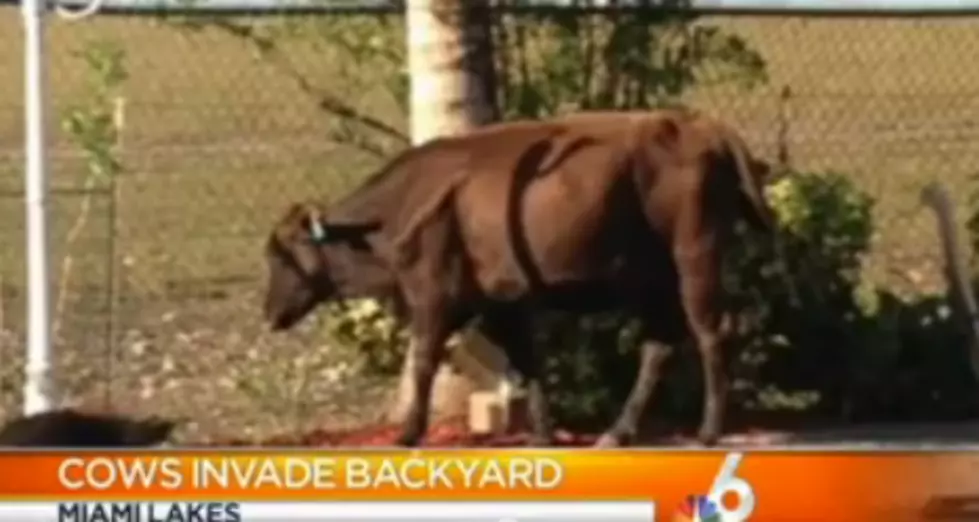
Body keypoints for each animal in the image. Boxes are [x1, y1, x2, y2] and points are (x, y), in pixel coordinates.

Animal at [260, 107, 772, 444]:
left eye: (282, 255)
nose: (269, 315)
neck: (394, 211)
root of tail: (704, 127)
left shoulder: (433, 300)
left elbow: (423, 360)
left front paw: (407, 434)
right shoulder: (503, 306)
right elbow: (529, 364)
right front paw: (543, 433)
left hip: (694, 260)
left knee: (711, 332)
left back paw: (707, 431)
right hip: (651, 281)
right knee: (659, 344)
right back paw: (617, 432)